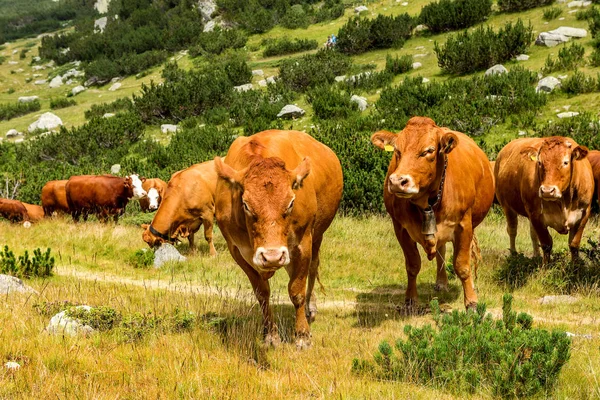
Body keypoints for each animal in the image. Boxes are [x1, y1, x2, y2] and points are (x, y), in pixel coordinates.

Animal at [214, 130, 342, 348]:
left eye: (291, 203)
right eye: (246, 205)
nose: (272, 256)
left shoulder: (303, 244)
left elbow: (296, 291)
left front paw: (302, 335)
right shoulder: (237, 251)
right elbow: (262, 294)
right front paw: (271, 335)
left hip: (316, 236)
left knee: (313, 268)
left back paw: (310, 308)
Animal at [370, 115, 496, 310]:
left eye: (428, 150)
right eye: (397, 150)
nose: (398, 181)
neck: (426, 204)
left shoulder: (464, 225)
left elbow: (462, 265)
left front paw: (471, 302)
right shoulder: (400, 228)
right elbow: (412, 264)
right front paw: (410, 301)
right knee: (441, 251)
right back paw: (441, 282)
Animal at [494, 136, 592, 264]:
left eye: (565, 162)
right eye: (539, 162)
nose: (547, 191)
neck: (564, 201)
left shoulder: (583, 214)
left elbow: (574, 245)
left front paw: (575, 266)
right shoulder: (536, 215)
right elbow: (546, 244)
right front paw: (546, 266)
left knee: (532, 233)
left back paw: (536, 255)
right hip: (507, 207)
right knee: (512, 230)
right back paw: (513, 254)